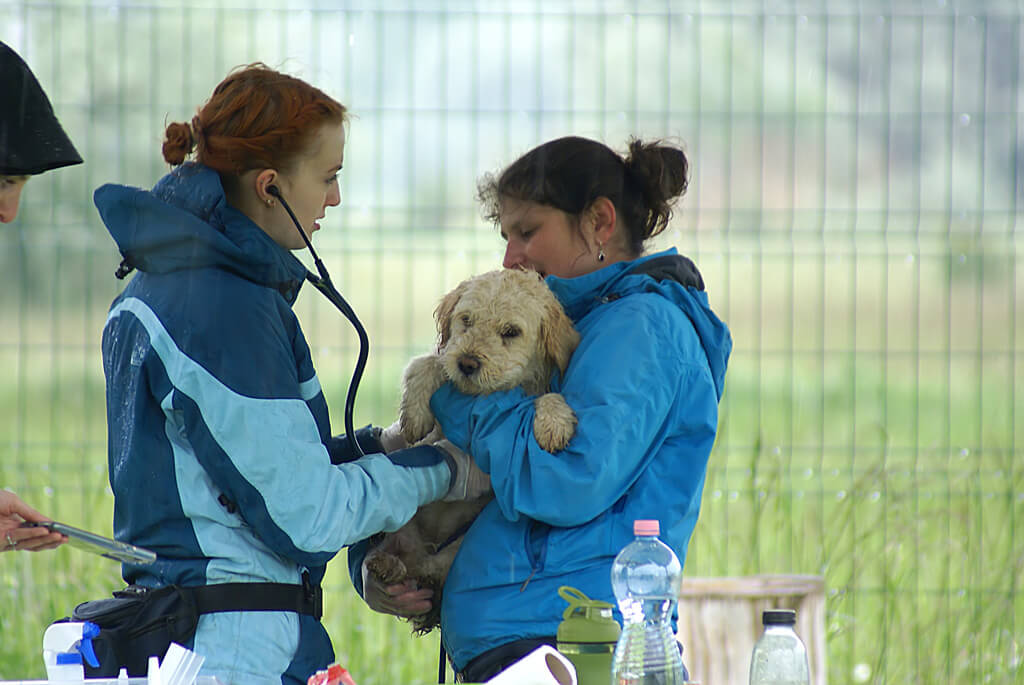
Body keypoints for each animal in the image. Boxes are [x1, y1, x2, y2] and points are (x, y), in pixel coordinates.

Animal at [363, 268, 581, 633]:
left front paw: (554, 422)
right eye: (466, 320)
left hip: (457, 545)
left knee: (432, 570)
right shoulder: (444, 359)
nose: (467, 363)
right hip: (402, 524)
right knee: (403, 554)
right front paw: (416, 413)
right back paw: (386, 564)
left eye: (511, 332)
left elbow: (550, 396)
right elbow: (427, 363)